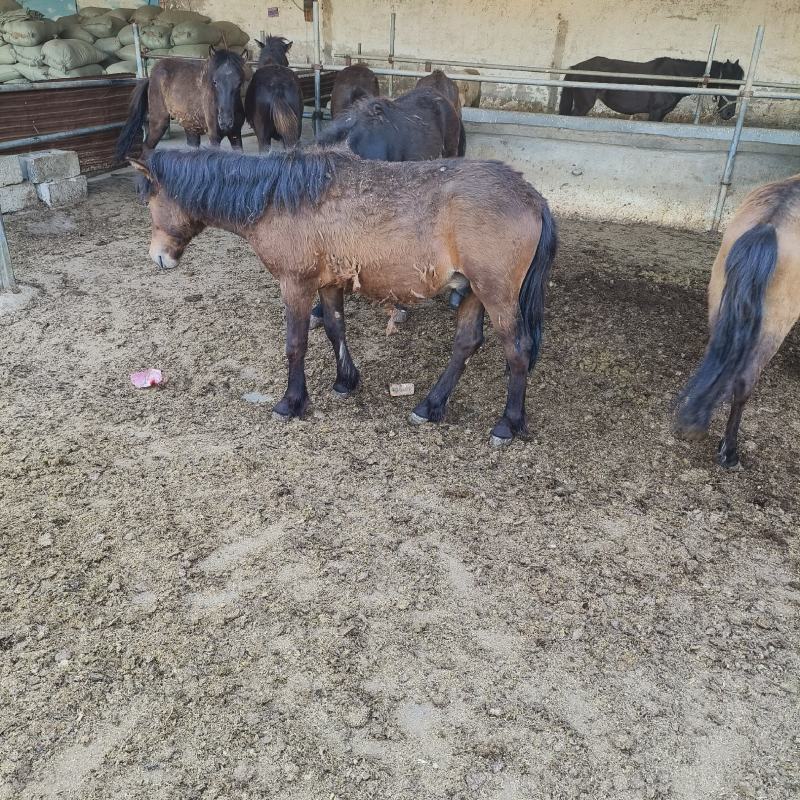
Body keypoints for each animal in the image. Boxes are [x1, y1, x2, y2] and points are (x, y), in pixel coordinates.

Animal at [115, 48, 247, 161]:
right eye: (214, 82)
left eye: (239, 83)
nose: (225, 122)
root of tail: (149, 77)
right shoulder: (214, 136)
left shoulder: (236, 135)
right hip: (159, 122)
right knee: (146, 148)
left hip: (190, 127)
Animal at [131, 147, 557, 446]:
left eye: (149, 201)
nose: (158, 256)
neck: (280, 198)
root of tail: (532, 198)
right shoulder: (329, 284)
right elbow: (336, 329)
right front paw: (345, 380)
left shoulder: (296, 284)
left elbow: (296, 344)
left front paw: (292, 401)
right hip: (471, 292)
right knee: (466, 343)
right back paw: (430, 406)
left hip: (497, 295)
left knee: (518, 350)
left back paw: (507, 424)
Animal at [559, 57, 744, 122]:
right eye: (727, 83)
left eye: (740, 84)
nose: (728, 114)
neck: (674, 77)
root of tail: (576, 67)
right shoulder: (655, 112)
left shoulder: (662, 115)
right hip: (583, 105)